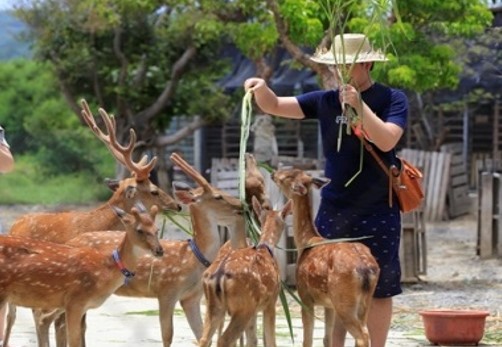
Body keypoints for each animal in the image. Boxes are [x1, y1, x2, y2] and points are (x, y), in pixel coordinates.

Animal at [0, 201, 163, 347]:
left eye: (157, 229)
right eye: (139, 230)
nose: (159, 250)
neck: (104, 272)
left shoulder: (67, 303)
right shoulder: (76, 301)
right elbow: (73, 341)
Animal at [199, 196, 292, 347]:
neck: (266, 248)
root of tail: (219, 276)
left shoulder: (255, 309)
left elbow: (252, 340)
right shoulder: (271, 301)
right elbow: (270, 341)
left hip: (213, 305)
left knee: (204, 339)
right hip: (243, 307)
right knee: (224, 339)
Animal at [272, 169, 378, 347]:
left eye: (287, 177)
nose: (273, 174)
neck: (305, 242)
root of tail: (365, 269)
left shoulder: (305, 295)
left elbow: (307, 340)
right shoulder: (329, 305)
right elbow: (327, 338)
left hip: (343, 299)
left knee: (362, 336)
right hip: (365, 299)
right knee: (366, 331)